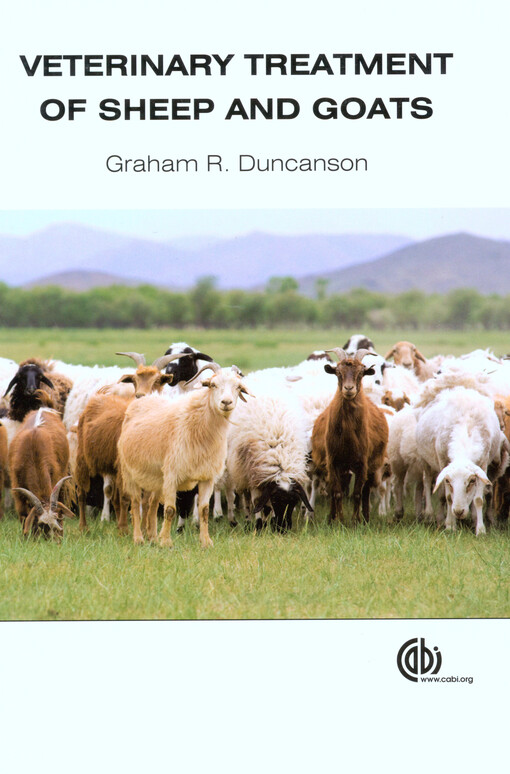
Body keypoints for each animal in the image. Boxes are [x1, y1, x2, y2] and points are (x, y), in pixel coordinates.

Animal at [8, 407, 73, 538]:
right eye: (42, 524)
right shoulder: (18, 493)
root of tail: (43, 408)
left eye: (57, 518)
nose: (54, 540)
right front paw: (28, 538)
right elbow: (24, 516)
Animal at [118, 362, 254, 548]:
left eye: (238, 387)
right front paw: (166, 542)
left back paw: (152, 537)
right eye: (213, 384)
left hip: (157, 478)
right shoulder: (172, 474)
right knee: (135, 502)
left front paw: (206, 541)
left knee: (152, 504)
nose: (226, 402)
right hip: (129, 472)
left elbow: (204, 510)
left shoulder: (207, 477)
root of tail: (144, 398)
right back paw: (138, 538)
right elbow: (170, 510)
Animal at [311, 348, 389, 524]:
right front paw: (338, 520)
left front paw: (355, 521)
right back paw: (331, 517)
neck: (347, 437)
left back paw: (366, 518)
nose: (348, 389)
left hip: (371, 465)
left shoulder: (362, 463)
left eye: (361, 373)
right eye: (338, 372)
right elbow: (337, 492)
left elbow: (357, 493)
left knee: (366, 491)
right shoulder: (333, 461)